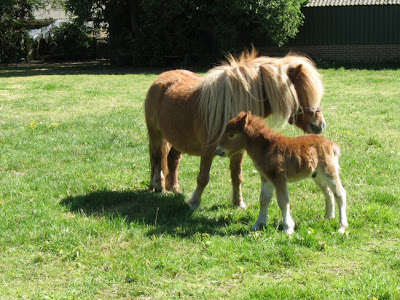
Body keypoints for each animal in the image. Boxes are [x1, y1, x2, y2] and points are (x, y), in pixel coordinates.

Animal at [144, 49, 324, 209]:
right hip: (156, 134)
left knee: (173, 160)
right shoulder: (208, 150)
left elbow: (237, 177)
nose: (320, 125)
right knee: (157, 157)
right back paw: (158, 186)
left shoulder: (238, 151)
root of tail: (162, 79)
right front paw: (194, 202)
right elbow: (203, 177)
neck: (229, 106)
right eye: (302, 93)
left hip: (177, 139)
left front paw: (238, 202)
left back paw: (174, 188)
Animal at [216, 111, 346, 233]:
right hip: (317, 175)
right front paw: (258, 225)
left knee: (340, 193)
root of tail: (331, 145)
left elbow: (283, 201)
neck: (267, 148)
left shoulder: (279, 177)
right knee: (328, 192)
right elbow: (264, 200)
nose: (218, 150)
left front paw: (288, 228)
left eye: (231, 135)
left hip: (329, 171)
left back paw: (342, 227)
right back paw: (328, 217)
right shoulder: (266, 178)